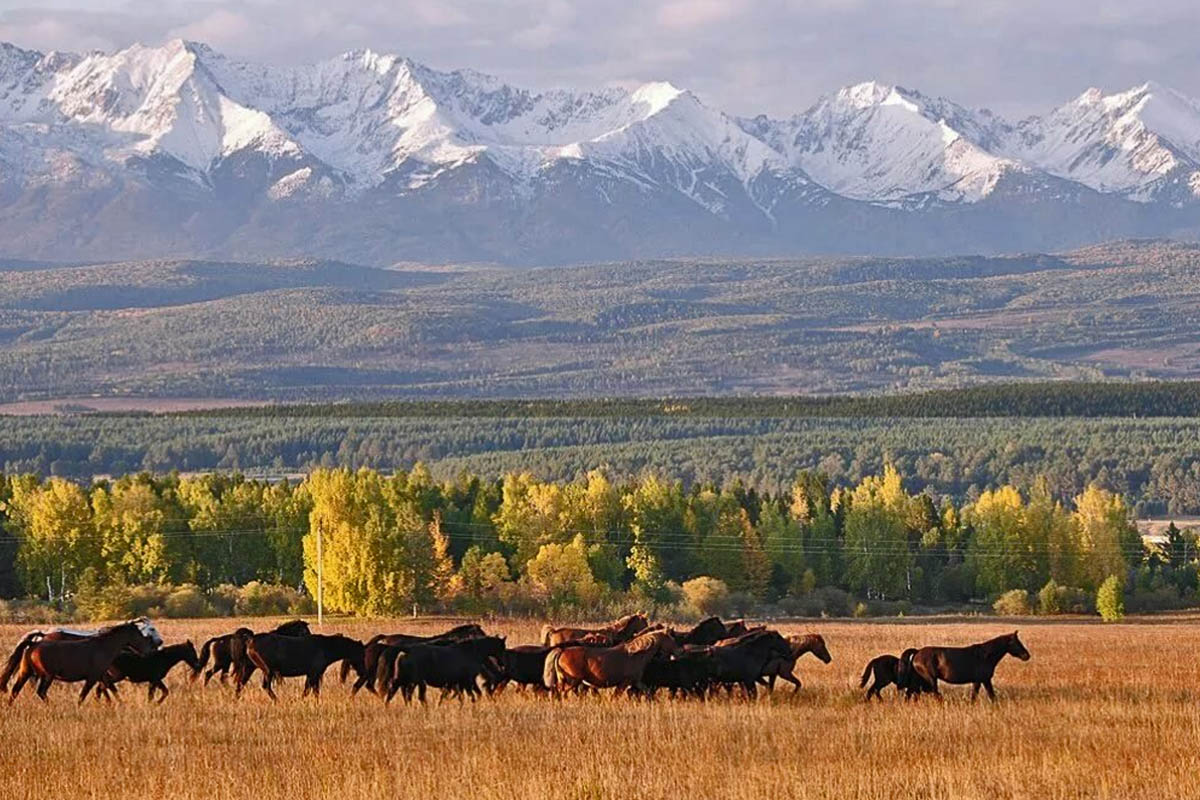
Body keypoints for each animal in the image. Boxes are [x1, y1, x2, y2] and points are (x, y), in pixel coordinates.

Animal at [542, 633, 676, 695]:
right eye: (670, 640)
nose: (678, 651)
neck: (636, 654)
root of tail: (562, 650)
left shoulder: (636, 681)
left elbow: (648, 693)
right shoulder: (624, 683)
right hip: (573, 681)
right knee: (563, 692)